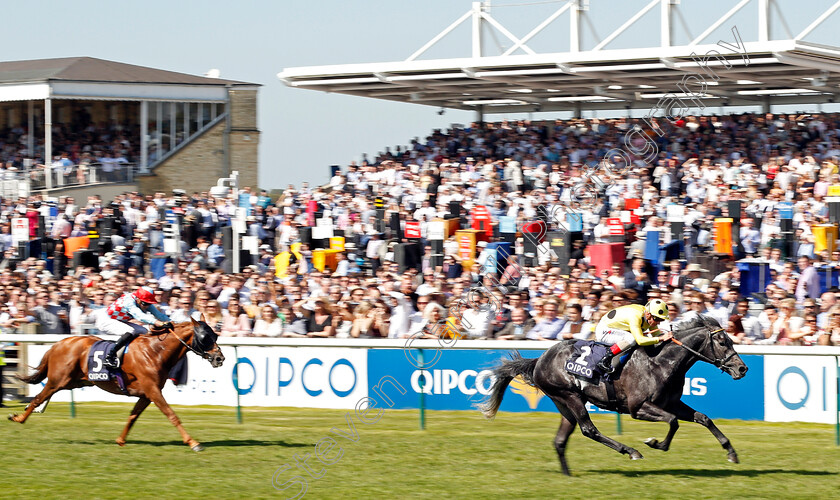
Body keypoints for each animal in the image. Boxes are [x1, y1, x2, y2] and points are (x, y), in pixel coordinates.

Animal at [8, 318, 225, 452]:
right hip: (58, 380)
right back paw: (19, 417)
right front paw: (193, 442)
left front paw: (120, 440)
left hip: (73, 382)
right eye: (205, 337)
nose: (219, 358)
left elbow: (132, 416)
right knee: (38, 397)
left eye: (215, 336)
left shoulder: (146, 394)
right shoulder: (153, 390)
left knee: (43, 397)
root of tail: (59, 344)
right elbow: (172, 415)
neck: (156, 350)